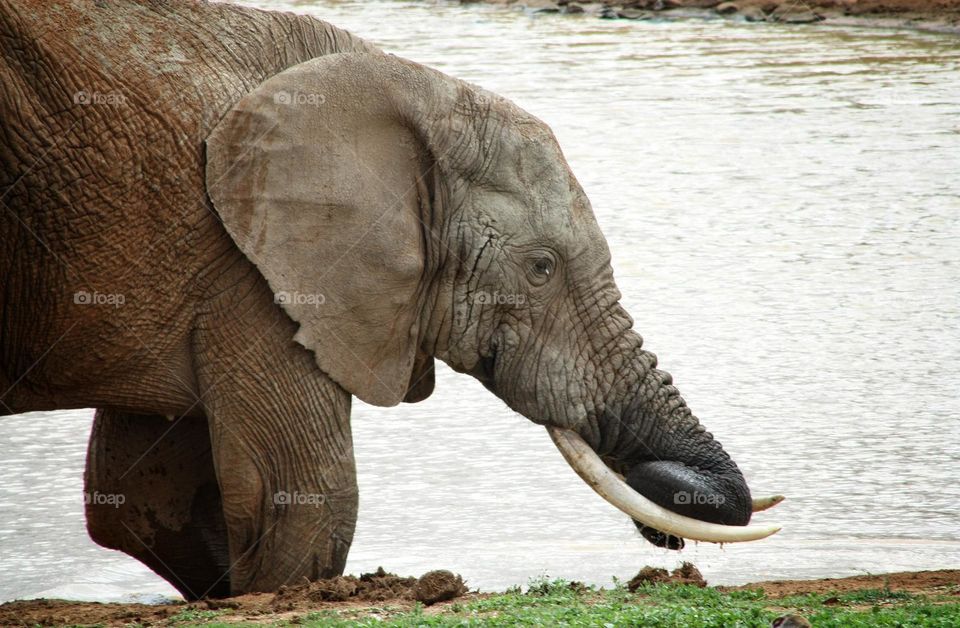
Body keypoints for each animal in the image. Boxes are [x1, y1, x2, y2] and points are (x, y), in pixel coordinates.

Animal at [0, 0, 781, 599]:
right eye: (541, 268)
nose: (658, 498)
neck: (403, 86)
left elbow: (135, 497)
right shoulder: (249, 262)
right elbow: (306, 494)